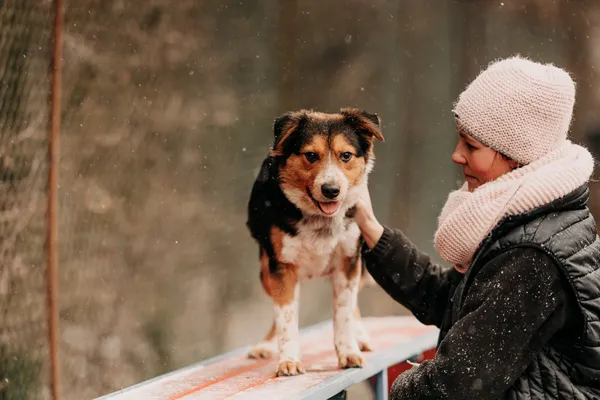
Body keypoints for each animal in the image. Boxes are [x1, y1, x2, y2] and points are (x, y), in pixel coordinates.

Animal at [245, 106, 382, 376]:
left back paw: (360, 336)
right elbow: (286, 317)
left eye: (346, 155)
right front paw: (288, 360)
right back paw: (265, 346)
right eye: (310, 155)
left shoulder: (348, 261)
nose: (331, 190)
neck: (319, 218)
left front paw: (349, 352)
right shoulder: (282, 266)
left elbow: (343, 313)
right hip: (265, 270)